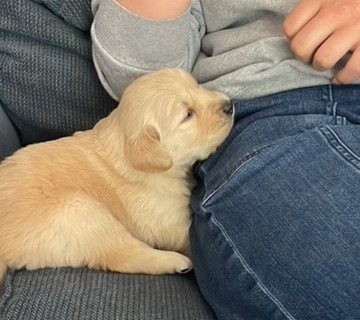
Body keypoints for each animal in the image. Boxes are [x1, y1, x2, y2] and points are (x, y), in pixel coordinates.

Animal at [0, 69, 233, 282]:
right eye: (188, 114)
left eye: (197, 86)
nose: (230, 105)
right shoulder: (169, 223)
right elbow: (185, 239)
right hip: (81, 211)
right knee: (123, 256)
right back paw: (176, 262)